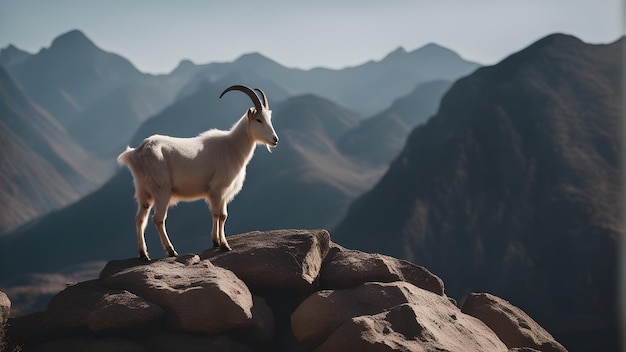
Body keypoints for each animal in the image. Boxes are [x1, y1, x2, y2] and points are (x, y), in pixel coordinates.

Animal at [117, 85, 278, 262]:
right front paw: (225, 245)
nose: (275, 139)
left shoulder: (219, 194)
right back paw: (171, 251)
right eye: (258, 120)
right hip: (161, 190)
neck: (231, 147)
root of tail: (136, 153)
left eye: (269, 119)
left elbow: (217, 214)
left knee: (140, 218)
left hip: (143, 191)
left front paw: (216, 241)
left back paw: (144, 254)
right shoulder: (218, 189)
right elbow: (221, 215)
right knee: (158, 219)